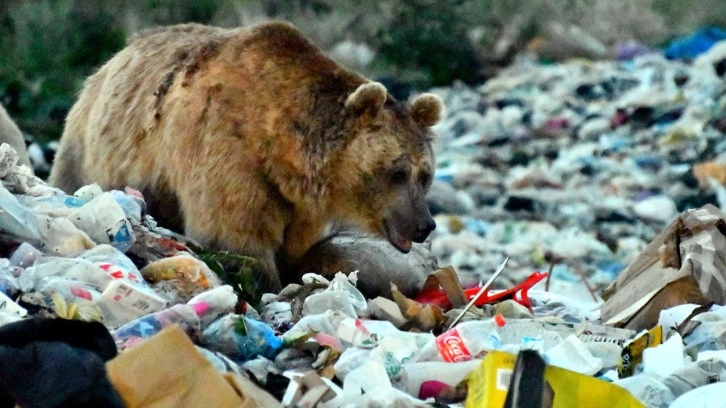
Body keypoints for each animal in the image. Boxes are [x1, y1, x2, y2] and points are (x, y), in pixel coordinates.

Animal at [49, 21, 444, 290]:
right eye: (396, 172)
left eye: (425, 174)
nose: (424, 225)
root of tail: (110, 61)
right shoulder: (226, 149)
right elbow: (234, 234)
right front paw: (260, 278)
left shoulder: (301, 204)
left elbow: (297, 247)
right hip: (88, 147)